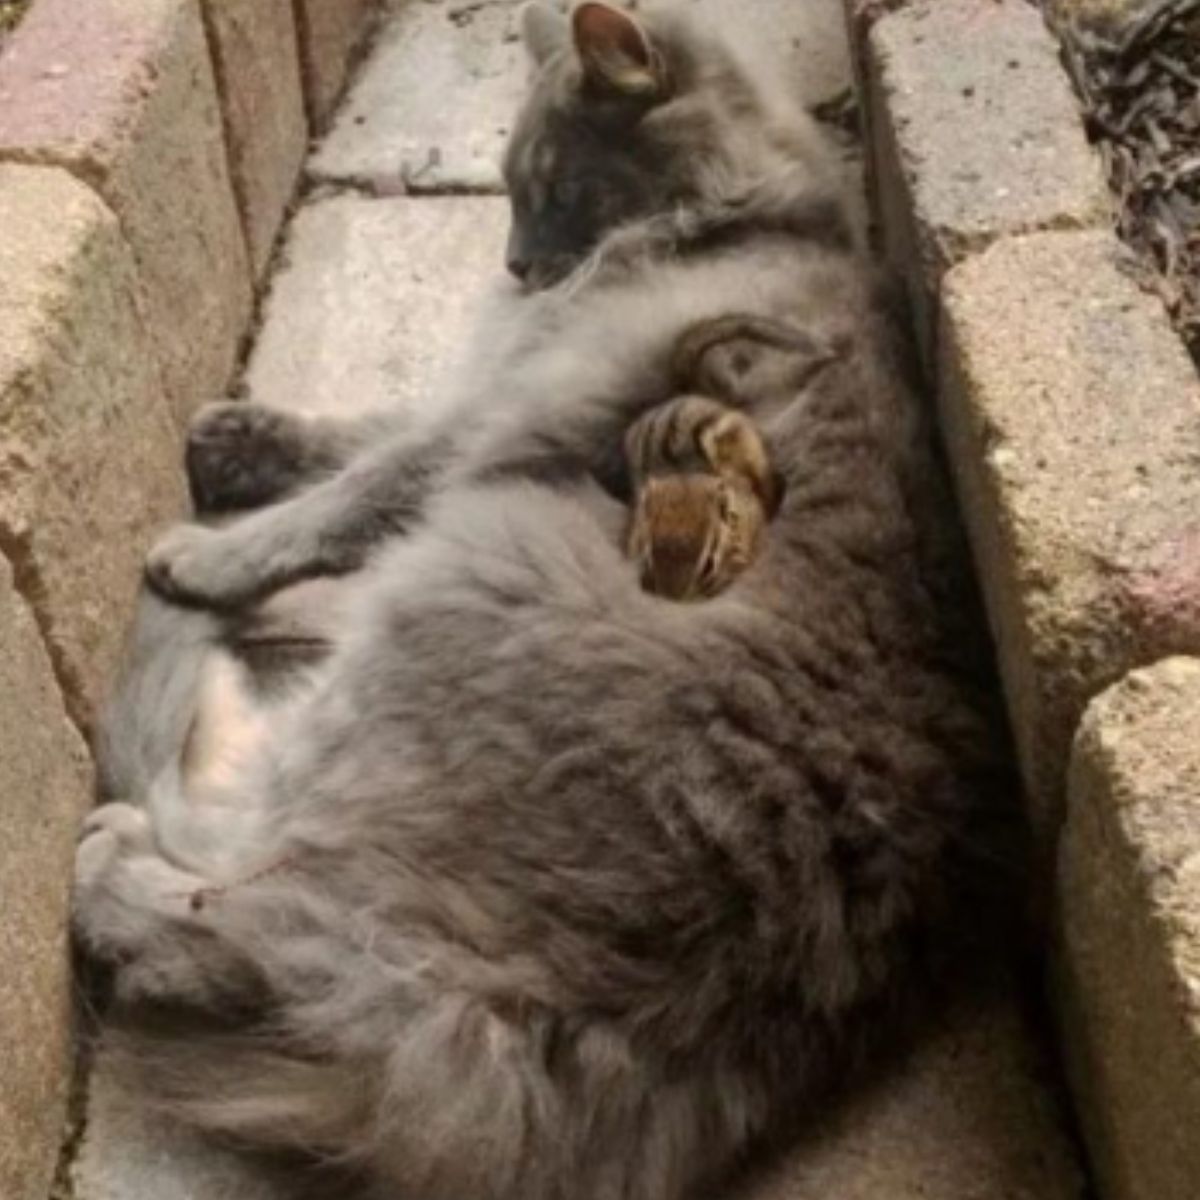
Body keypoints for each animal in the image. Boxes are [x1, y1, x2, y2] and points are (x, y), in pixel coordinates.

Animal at [72, 4, 1012, 1195]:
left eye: (556, 186)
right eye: (509, 191)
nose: (516, 266)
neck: (736, 218)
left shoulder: (513, 409)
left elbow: (354, 488)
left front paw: (211, 553)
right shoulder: (492, 388)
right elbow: (366, 429)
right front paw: (239, 439)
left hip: (460, 572)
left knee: (236, 873)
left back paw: (123, 841)